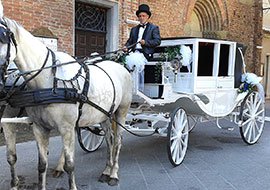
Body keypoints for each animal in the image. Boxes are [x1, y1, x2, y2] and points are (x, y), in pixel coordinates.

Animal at [0, 8, 132, 190]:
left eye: (1, 38)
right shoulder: (38, 127)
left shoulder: (67, 127)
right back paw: (106, 170)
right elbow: (40, 164)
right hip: (104, 114)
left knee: (118, 141)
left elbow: (70, 165)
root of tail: (121, 66)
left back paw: (113, 174)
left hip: (121, 112)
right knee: (109, 139)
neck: (48, 80)